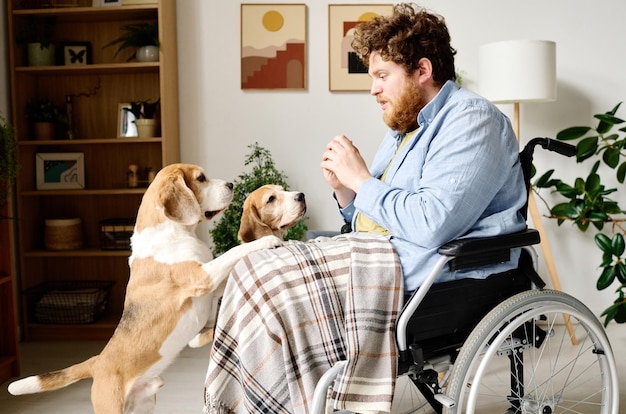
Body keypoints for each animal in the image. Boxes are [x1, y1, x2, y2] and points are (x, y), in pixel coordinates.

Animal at [8, 163, 282, 412]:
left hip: (143, 405)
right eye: (201, 178)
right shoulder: (201, 277)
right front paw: (267, 241)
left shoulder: (210, 284)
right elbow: (233, 251)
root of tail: (97, 362)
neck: (174, 231)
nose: (231, 185)